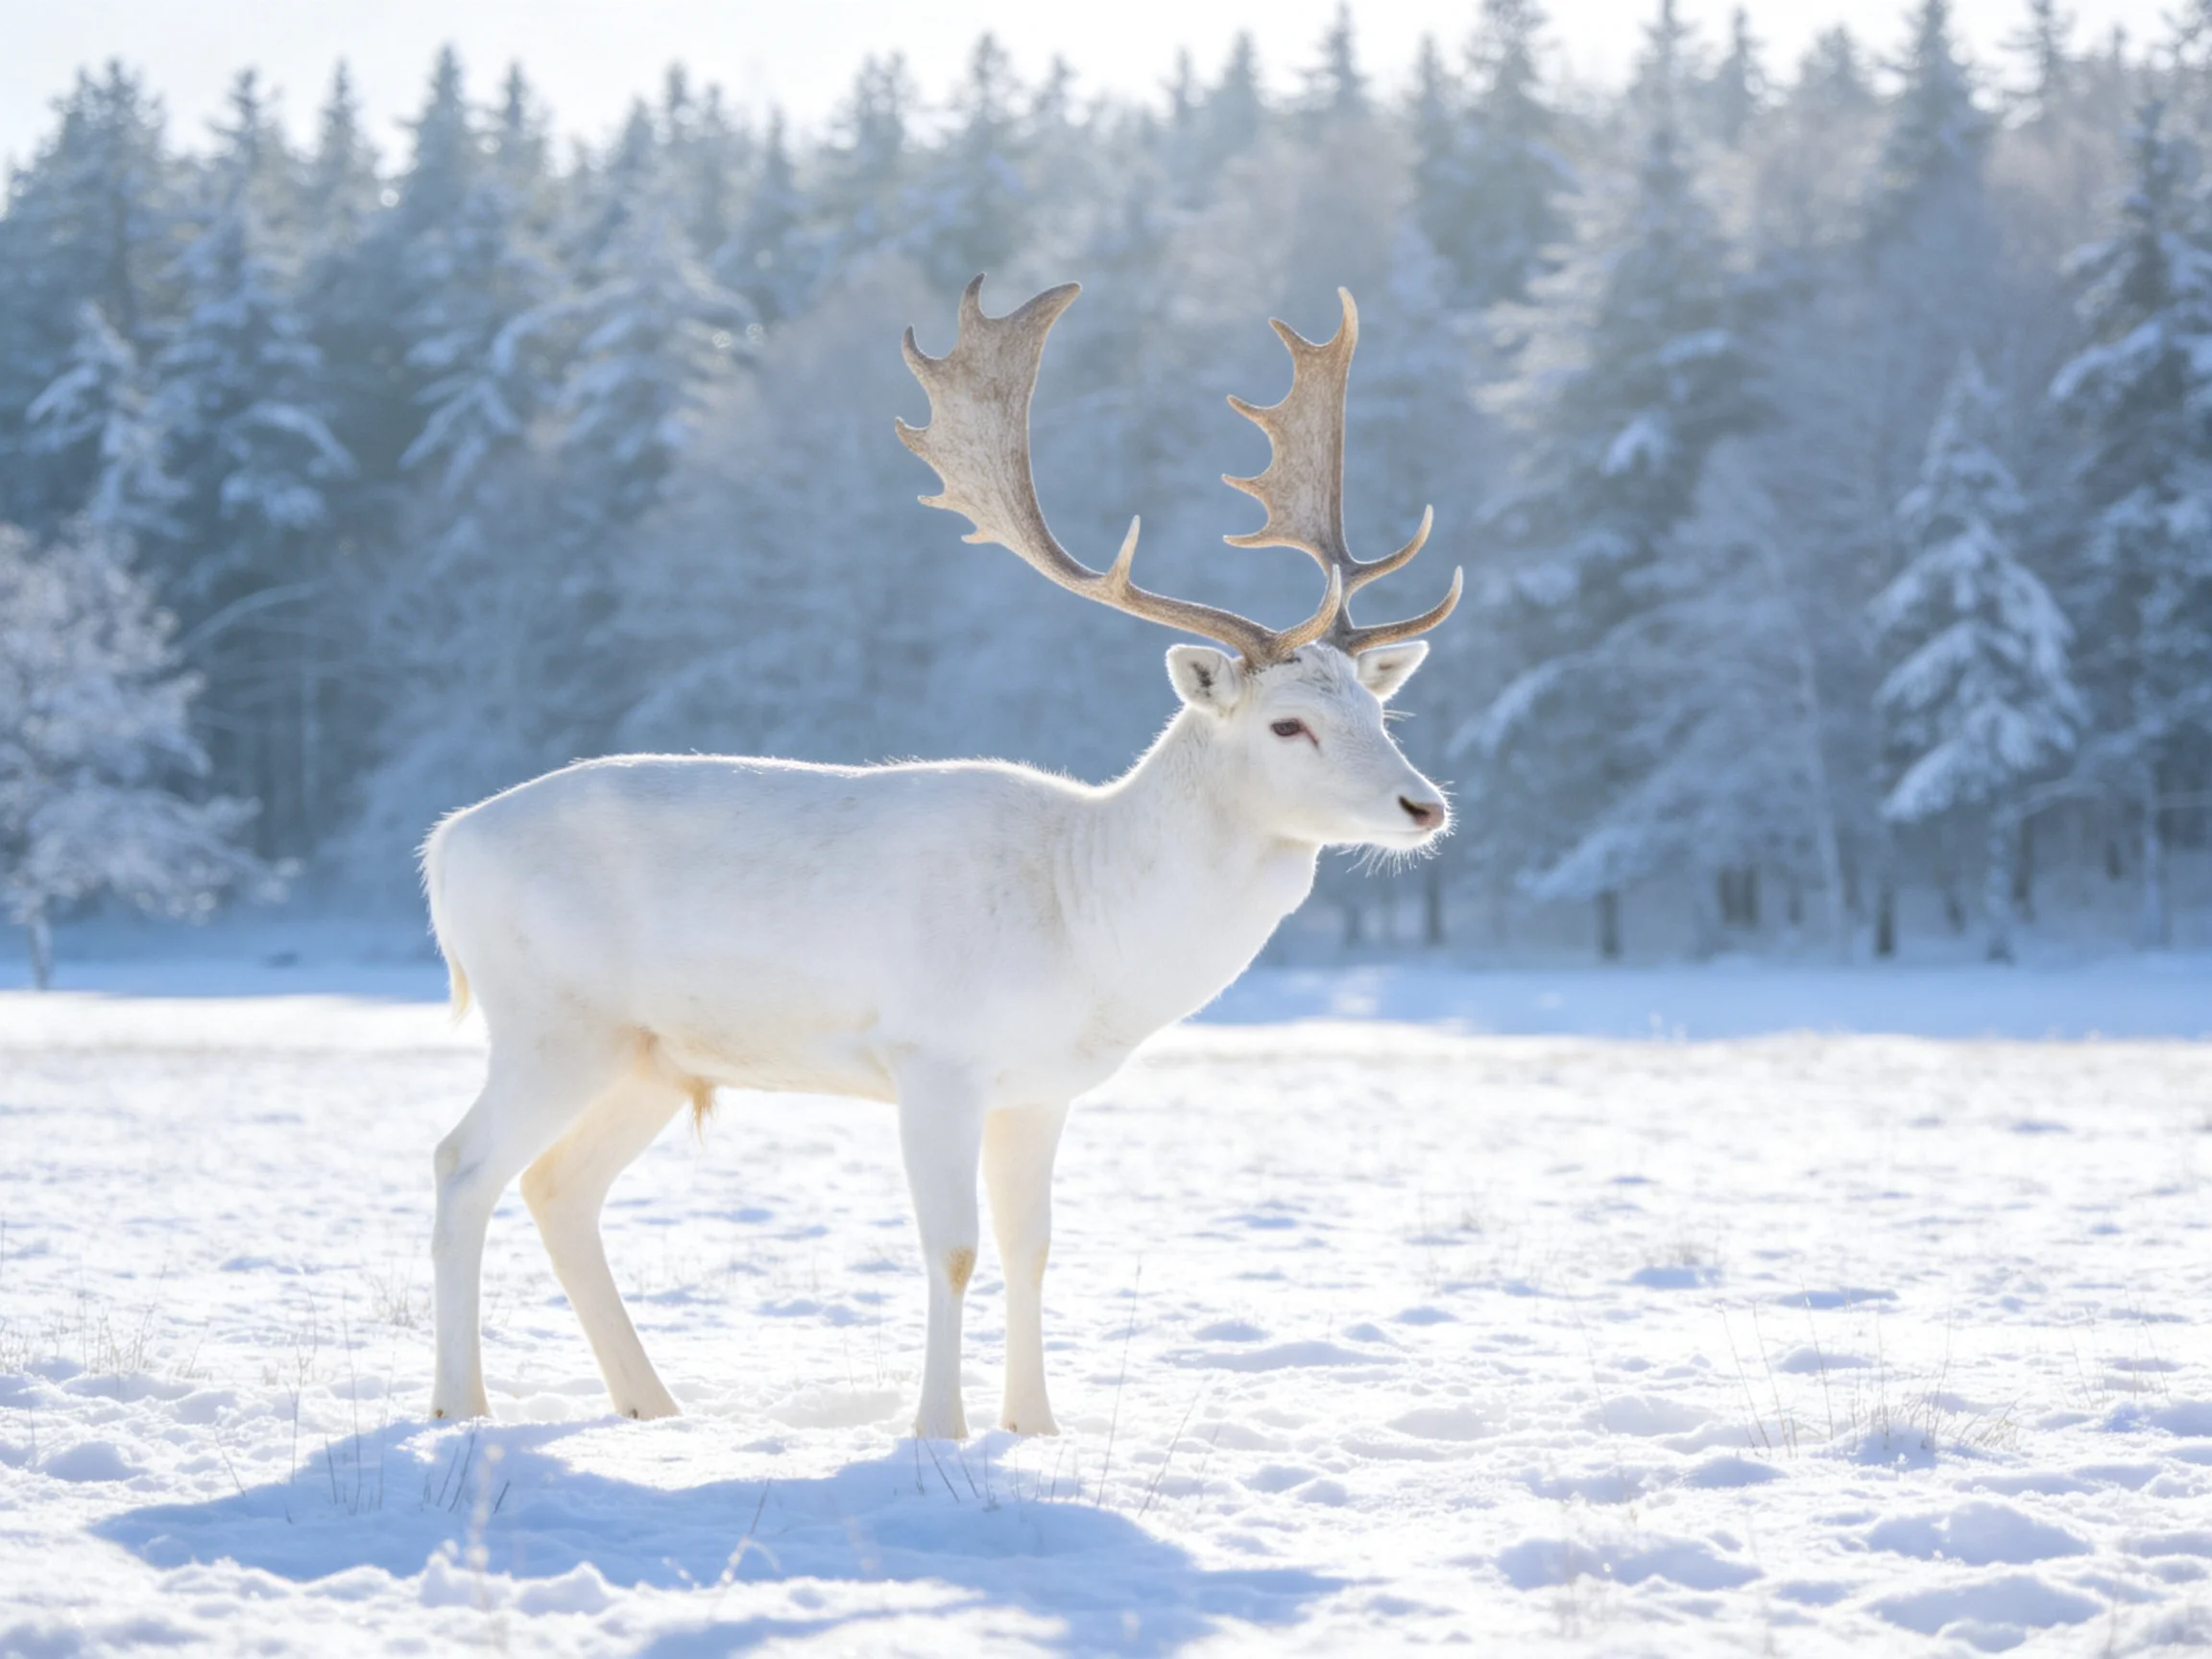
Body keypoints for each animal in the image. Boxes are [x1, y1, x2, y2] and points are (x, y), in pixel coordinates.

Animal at [424, 277, 1460, 1438]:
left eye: (1379, 707)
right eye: (1288, 725)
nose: (1425, 805)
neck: (1090, 932)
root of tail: (444, 846)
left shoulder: (1039, 1088)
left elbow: (1033, 1249)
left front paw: (1035, 1425)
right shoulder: (933, 1055)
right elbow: (953, 1248)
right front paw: (938, 1428)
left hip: (651, 1054)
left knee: (560, 1186)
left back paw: (652, 1405)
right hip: (550, 1020)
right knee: (462, 1165)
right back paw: (459, 1407)